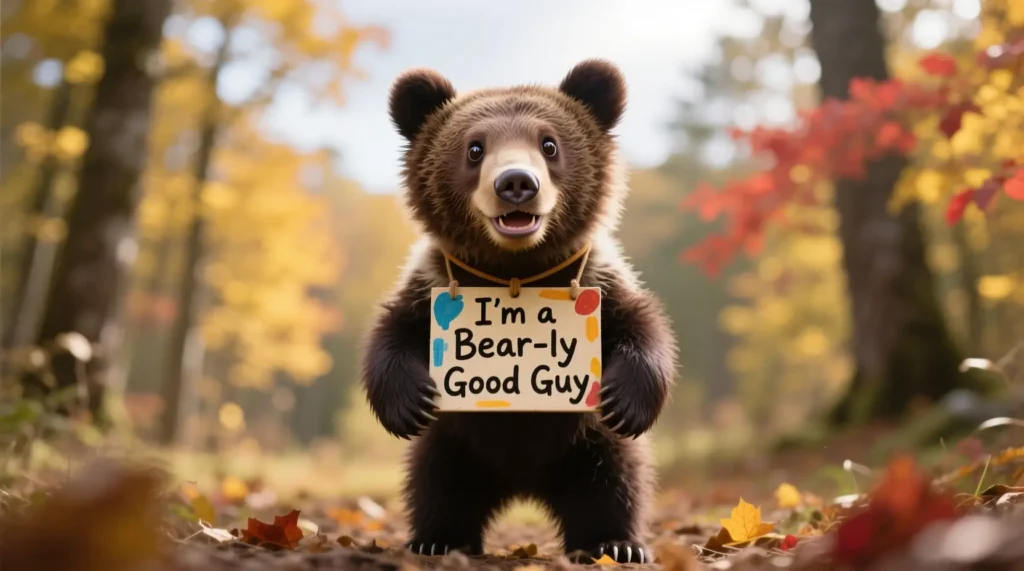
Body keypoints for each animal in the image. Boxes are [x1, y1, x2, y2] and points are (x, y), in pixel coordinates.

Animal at [361, 59, 678, 564]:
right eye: (474, 148)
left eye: (549, 144)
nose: (516, 183)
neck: (516, 268)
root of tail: (523, 485)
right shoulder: (431, 281)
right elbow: (393, 333)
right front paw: (409, 402)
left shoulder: (598, 278)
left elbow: (642, 327)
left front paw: (625, 401)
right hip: (457, 442)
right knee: (437, 485)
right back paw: (437, 539)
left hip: (584, 444)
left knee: (613, 481)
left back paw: (614, 543)